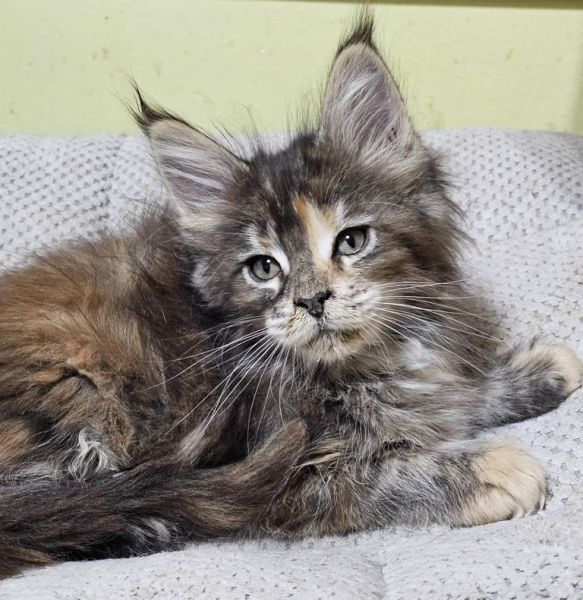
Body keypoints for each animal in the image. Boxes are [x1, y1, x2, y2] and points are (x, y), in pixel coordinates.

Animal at [0, 15, 581, 579]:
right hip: (85, 392)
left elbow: (454, 397)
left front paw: (532, 374)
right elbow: (384, 472)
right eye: (263, 268)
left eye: (352, 240)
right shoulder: (293, 473)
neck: (370, 363)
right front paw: (488, 469)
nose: (311, 300)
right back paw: (142, 525)